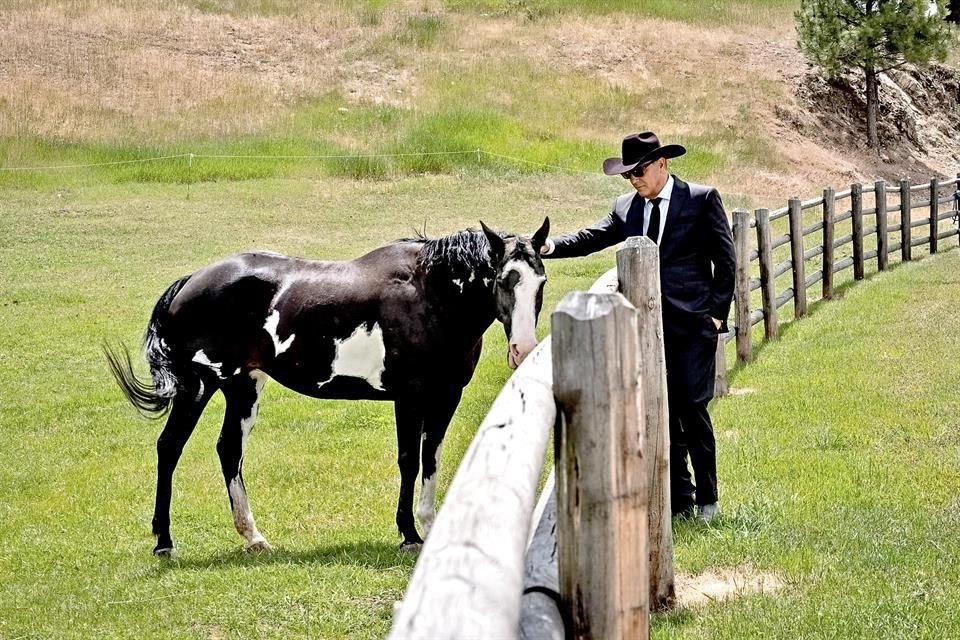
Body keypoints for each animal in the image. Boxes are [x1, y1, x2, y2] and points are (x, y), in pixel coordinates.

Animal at [104, 218, 548, 552]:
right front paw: (409, 534)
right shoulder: (409, 398)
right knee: (170, 447)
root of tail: (191, 281)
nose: (524, 349)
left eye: (539, 282)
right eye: (504, 280)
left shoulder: (445, 397)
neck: (427, 294)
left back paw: (254, 537)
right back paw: (164, 540)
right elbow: (409, 460)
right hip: (198, 387)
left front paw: (428, 525)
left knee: (229, 450)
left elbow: (431, 459)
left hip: (242, 387)